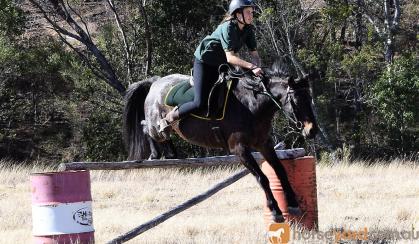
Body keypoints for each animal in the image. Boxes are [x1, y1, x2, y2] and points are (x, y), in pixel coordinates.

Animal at [123, 63, 320, 223]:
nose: (312, 130)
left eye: (310, 99)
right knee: (147, 127)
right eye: (295, 101)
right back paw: (155, 153)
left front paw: (293, 204)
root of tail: (155, 83)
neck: (252, 104)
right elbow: (262, 178)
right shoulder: (239, 149)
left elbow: (280, 171)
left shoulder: (265, 144)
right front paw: (276, 211)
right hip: (156, 125)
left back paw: (171, 153)